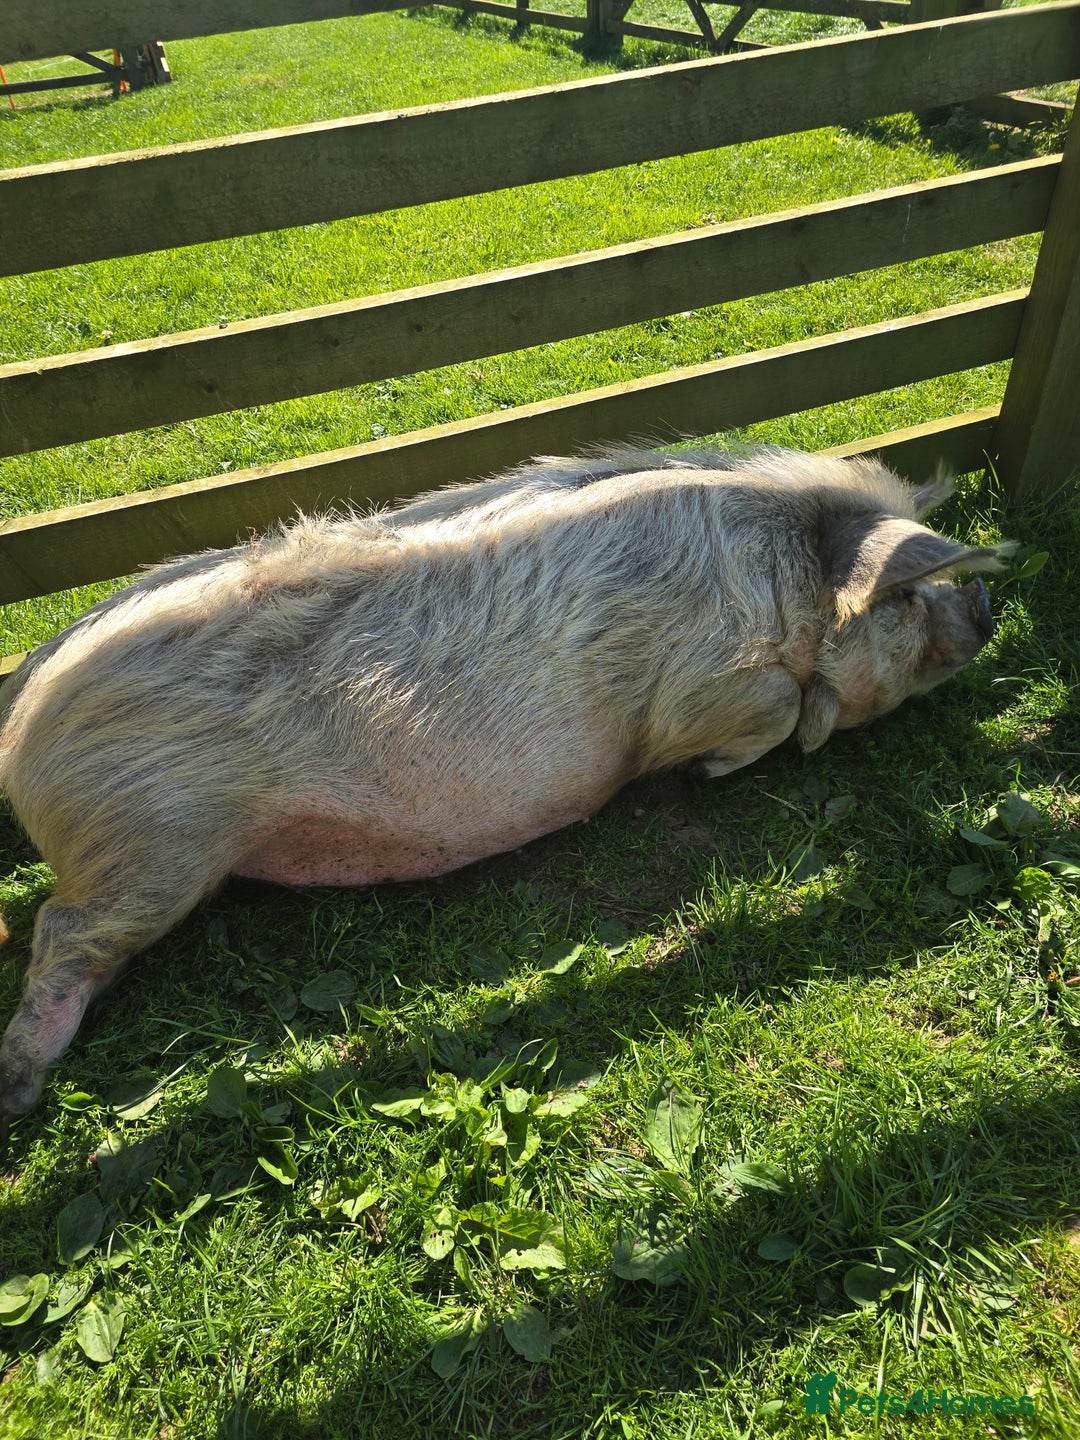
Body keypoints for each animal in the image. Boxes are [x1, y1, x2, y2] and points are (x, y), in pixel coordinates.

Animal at [0, 445, 1007, 1133]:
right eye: (907, 598)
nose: (987, 605)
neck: (778, 581)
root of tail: (22, 712)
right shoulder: (699, 681)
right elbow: (768, 710)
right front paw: (743, 757)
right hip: (152, 840)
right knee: (59, 932)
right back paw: (20, 1087)